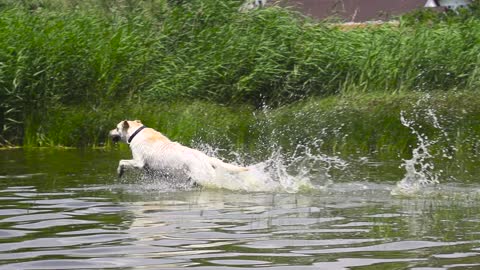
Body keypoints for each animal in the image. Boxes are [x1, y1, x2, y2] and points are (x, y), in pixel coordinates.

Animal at [108, 120, 248, 186]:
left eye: (116, 128)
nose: (108, 132)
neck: (136, 133)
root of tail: (206, 157)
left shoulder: (138, 162)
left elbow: (121, 161)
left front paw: (119, 171)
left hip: (202, 177)